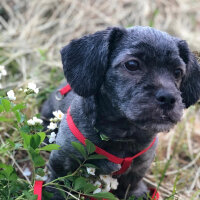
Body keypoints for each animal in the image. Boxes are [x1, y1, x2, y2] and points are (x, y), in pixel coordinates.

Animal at [40, 25, 200, 199]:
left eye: (178, 72)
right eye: (132, 64)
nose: (168, 98)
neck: (123, 134)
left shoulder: (138, 168)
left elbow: (132, 186)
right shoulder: (62, 162)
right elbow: (58, 184)